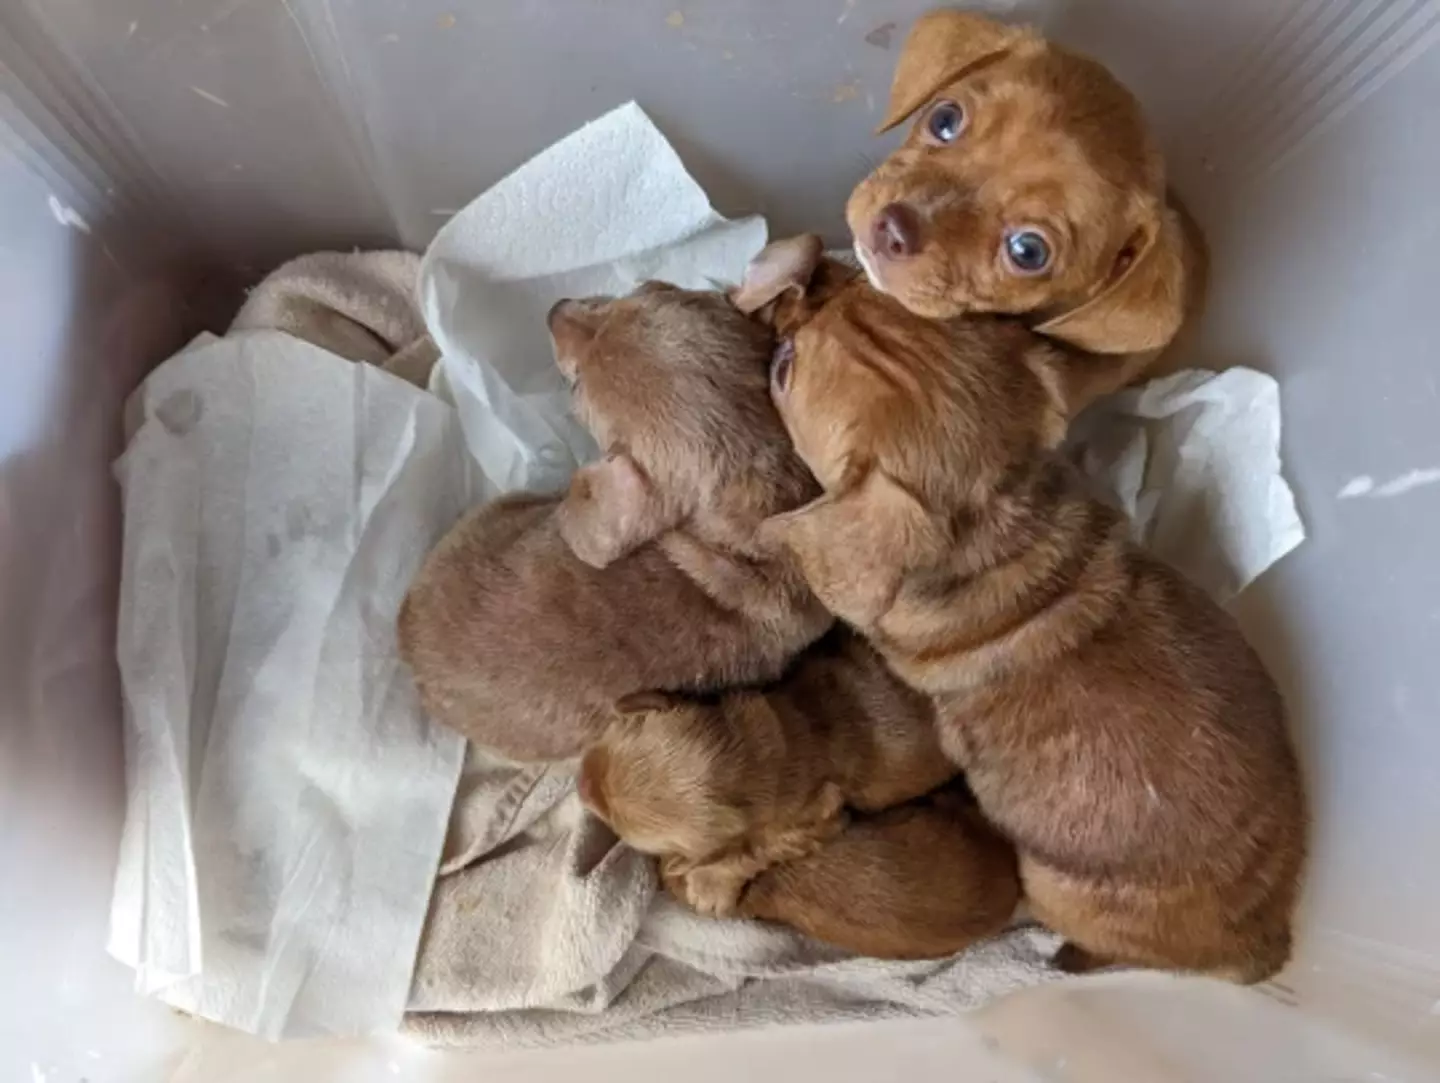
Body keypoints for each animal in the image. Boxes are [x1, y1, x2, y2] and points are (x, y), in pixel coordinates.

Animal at [573, 625, 956, 915]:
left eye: (622, 827)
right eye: (622, 730)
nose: (582, 783)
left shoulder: (815, 820)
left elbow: (760, 849)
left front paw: (710, 885)